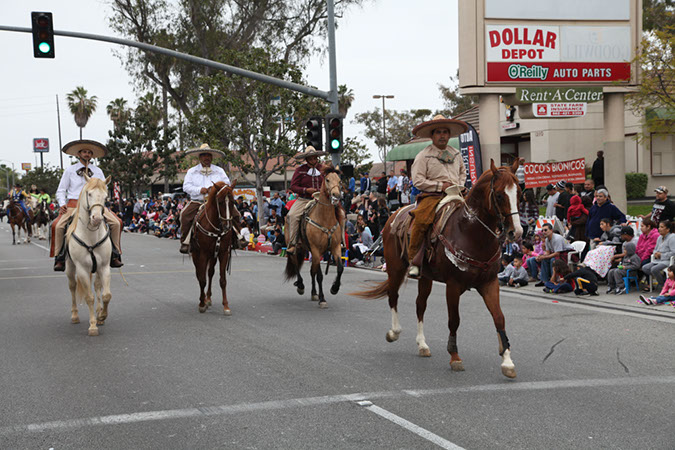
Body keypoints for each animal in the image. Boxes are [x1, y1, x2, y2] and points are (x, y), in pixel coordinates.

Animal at [64, 174, 112, 336]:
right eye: (89, 194)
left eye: (105, 196)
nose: (96, 218)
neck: (91, 238)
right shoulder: (82, 270)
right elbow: (89, 297)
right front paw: (92, 326)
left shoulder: (104, 266)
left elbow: (106, 295)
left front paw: (102, 315)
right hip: (70, 267)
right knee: (72, 287)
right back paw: (74, 315)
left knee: (97, 286)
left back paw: (99, 313)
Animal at [191, 181, 239, 314]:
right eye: (221, 202)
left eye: (233, 201)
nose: (227, 226)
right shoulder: (203, 254)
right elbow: (202, 279)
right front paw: (201, 304)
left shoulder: (223, 253)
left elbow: (222, 280)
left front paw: (226, 306)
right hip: (196, 255)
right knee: (199, 274)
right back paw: (203, 300)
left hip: (213, 256)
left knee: (210, 273)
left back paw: (208, 298)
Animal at [286, 166, 346, 310]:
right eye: (328, 179)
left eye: (339, 180)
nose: (336, 195)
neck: (325, 219)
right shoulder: (316, 249)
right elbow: (319, 275)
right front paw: (322, 299)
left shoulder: (335, 247)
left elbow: (340, 268)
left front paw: (334, 288)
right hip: (296, 247)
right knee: (295, 262)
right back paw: (301, 286)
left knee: (312, 270)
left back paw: (314, 293)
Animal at [354, 160, 524, 378]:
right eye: (500, 195)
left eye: (519, 192)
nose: (516, 232)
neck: (470, 232)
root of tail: (394, 215)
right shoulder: (453, 285)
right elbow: (454, 320)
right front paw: (455, 357)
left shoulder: (489, 283)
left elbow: (499, 318)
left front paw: (507, 362)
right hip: (395, 268)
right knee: (393, 297)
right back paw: (394, 332)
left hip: (425, 276)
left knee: (420, 305)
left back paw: (422, 345)